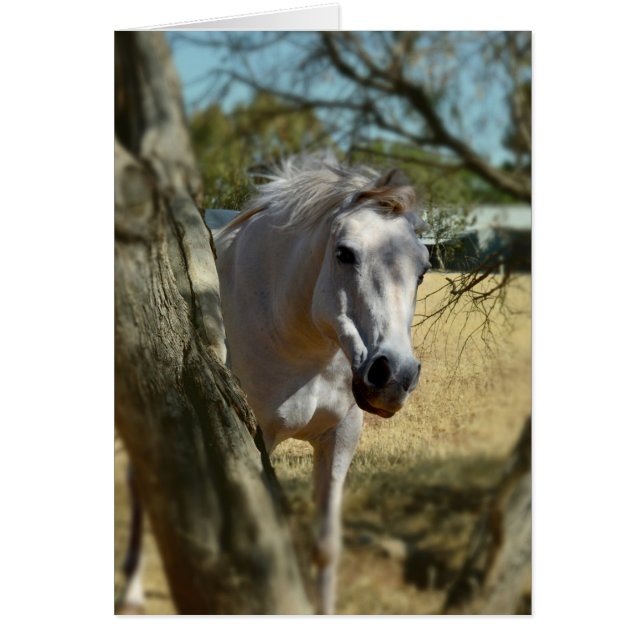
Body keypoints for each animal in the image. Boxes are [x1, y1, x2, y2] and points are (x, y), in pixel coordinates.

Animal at [212, 156, 430, 614]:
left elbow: (326, 550)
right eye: (344, 254)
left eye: (423, 269)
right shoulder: (256, 440)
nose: (394, 377)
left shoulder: (341, 436)